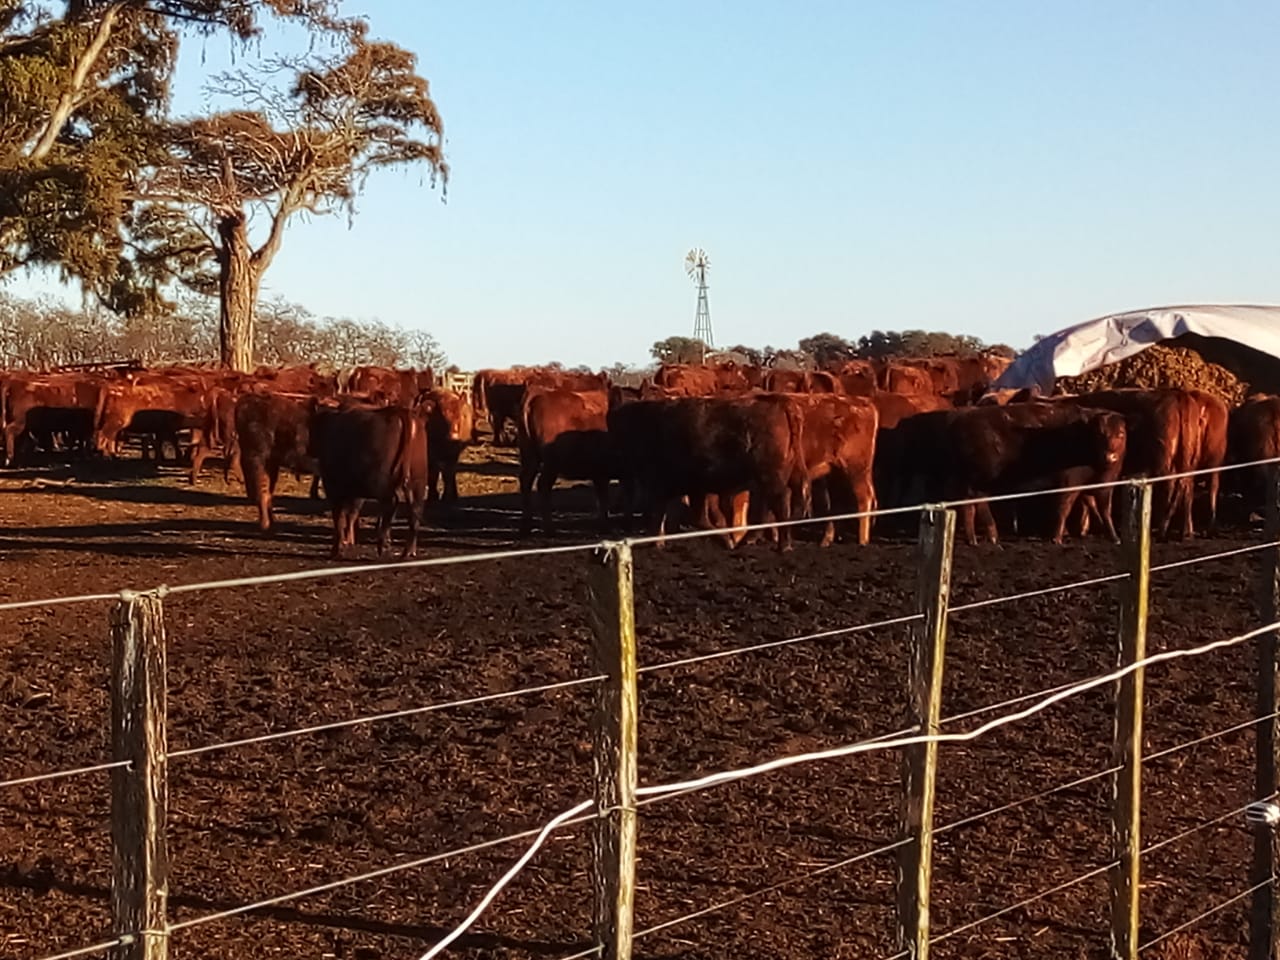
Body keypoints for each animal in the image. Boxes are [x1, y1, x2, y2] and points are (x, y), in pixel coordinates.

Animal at [309, 404, 429, 559]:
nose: (310, 449)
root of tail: (400, 412)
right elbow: (351, 513)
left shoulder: (333, 486)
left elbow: (339, 516)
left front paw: (337, 548)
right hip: (417, 481)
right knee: (415, 510)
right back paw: (408, 550)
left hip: (380, 482)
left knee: (391, 504)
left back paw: (383, 545)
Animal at [517, 388, 612, 534]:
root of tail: (539, 393)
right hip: (551, 463)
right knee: (543, 484)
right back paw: (549, 528)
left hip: (530, 456)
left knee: (526, 480)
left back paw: (526, 526)